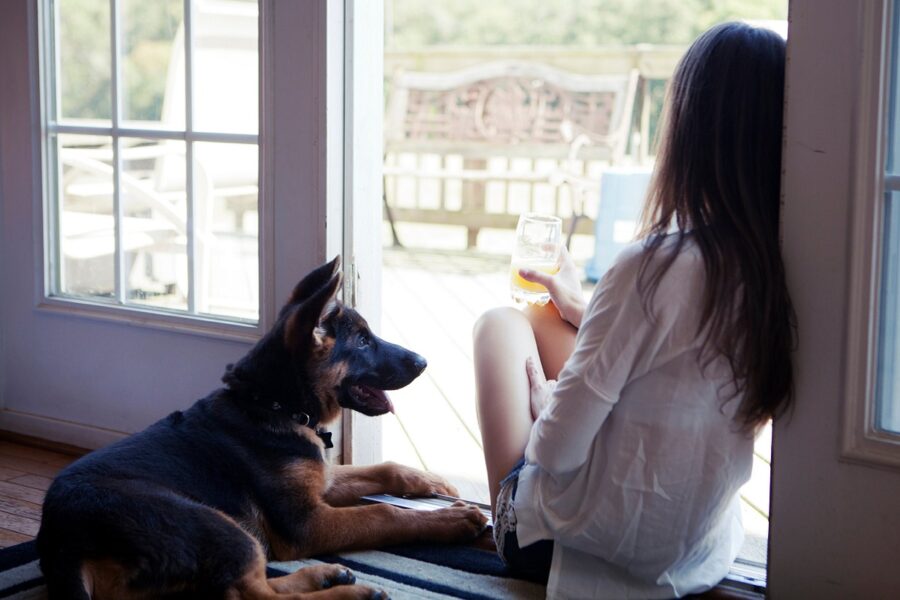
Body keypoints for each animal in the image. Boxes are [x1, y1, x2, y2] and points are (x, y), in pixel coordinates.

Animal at [37, 258, 486, 600]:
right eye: (362, 342)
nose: (423, 362)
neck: (277, 406)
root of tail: (62, 539)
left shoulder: (320, 480)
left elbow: (384, 469)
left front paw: (432, 482)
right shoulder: (307, 522)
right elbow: (384, 512)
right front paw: (454, 519)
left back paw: (324, 575)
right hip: (217, 525)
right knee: (251, 595)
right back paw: (350, 591)